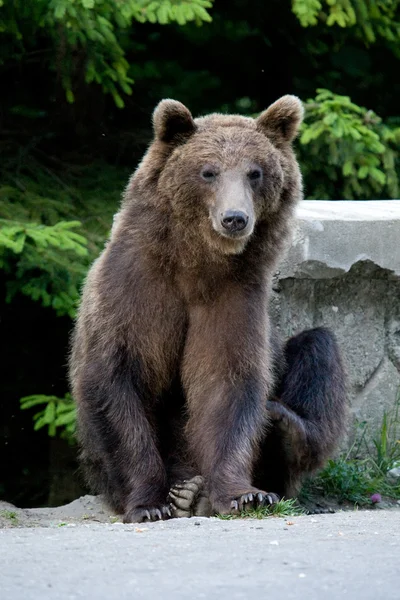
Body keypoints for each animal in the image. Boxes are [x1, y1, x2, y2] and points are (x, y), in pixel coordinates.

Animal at [69, 96, 346, 524]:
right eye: (208, 171)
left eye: (255, 172)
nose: (235, 218)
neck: (196, 263)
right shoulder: (135, 289)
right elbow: (118, 378)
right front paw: (149, 503)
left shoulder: (233, 296)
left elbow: (227, 381)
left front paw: (243, 495)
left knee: (318, 350)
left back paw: (275, 429)